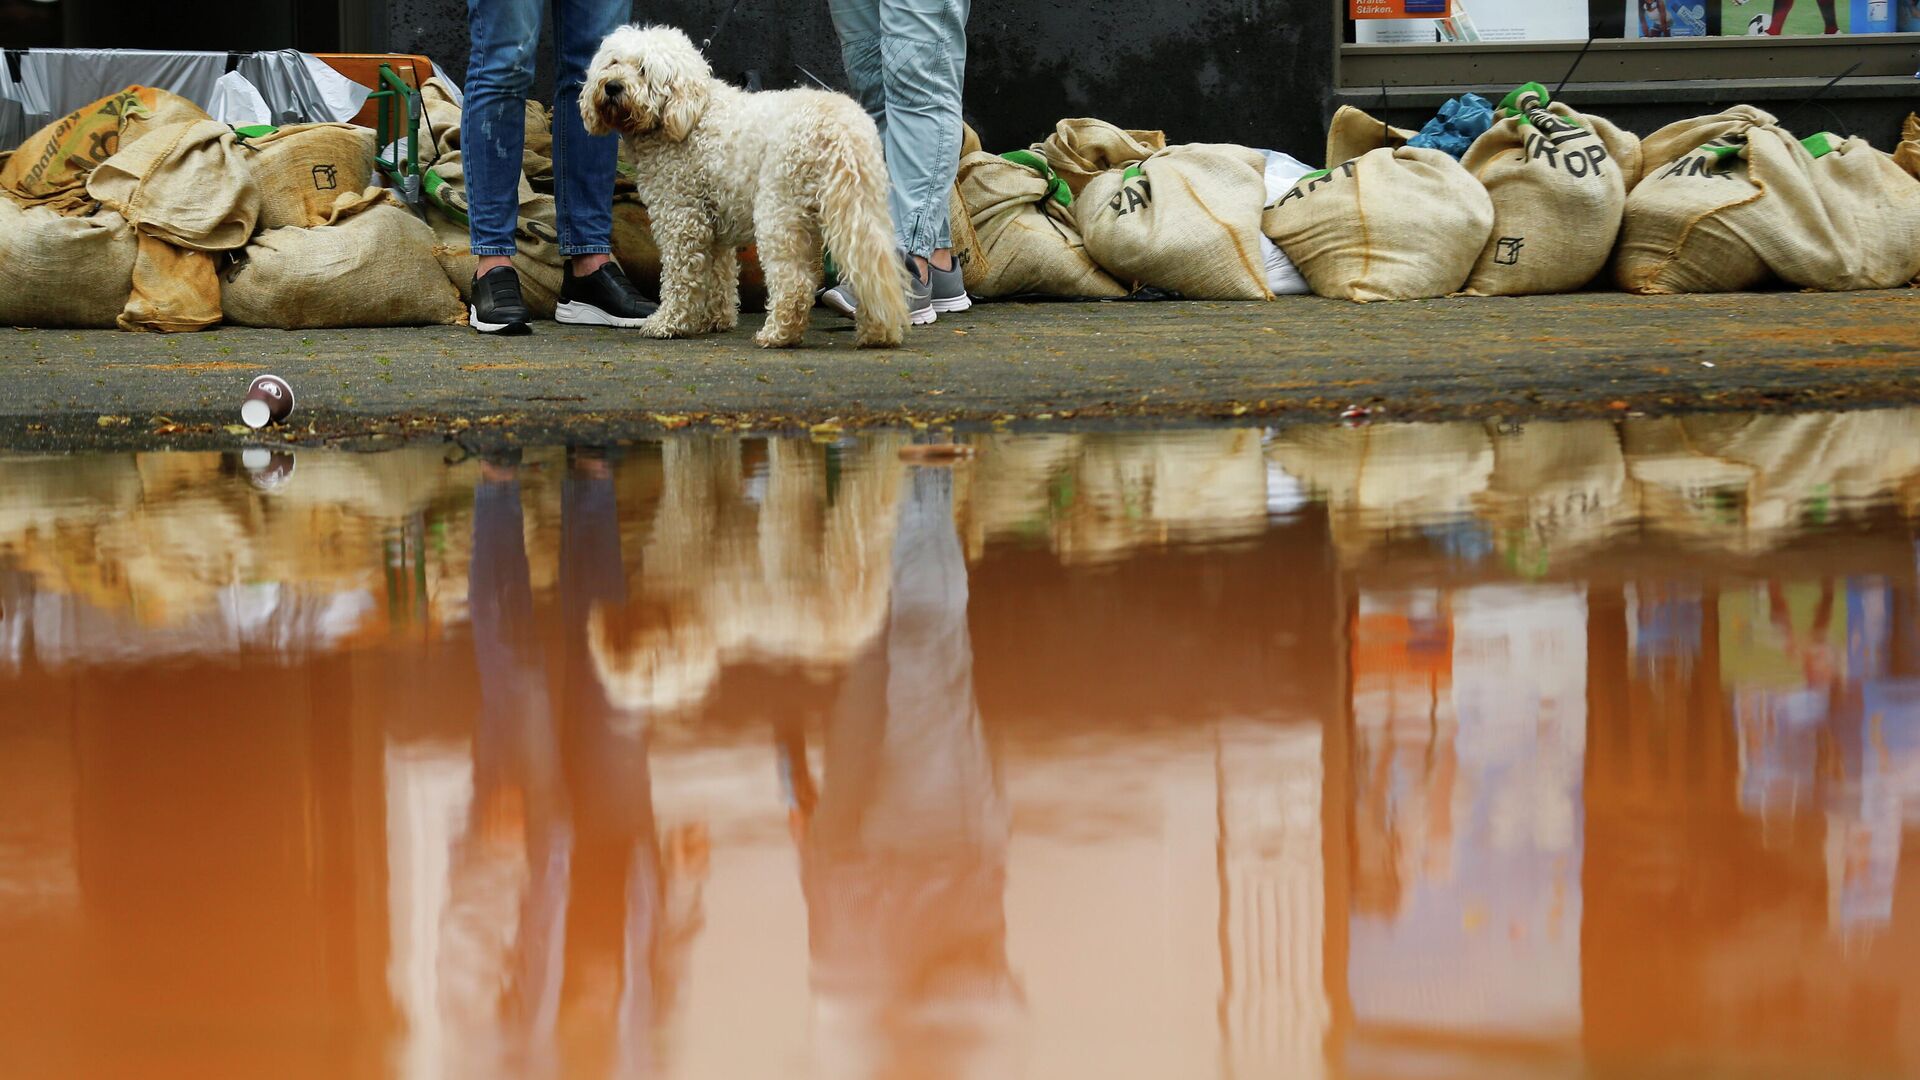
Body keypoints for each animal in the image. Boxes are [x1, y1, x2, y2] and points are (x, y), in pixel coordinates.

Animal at [576, 24, 906, 343]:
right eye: (613, 63)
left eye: (644, 69)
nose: (612, 86)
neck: (690, 115)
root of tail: (839, 127)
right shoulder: (714, 224)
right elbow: (719, 275)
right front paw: (715, 320)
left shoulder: (681, 217)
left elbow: (681, 277)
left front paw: (669, 322)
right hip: (859, 208)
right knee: (871, 271)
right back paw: (878, 333)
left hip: (779, 212)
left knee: (796, 282)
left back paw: (778, 335)